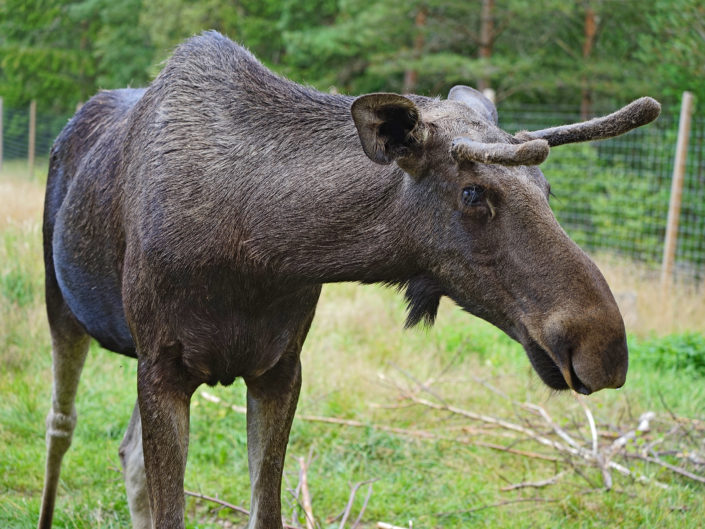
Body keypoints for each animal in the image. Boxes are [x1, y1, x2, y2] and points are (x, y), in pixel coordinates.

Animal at [38, 31, 660, 529]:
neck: (258, 252)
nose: (604, 345)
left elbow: (264, 511)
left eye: (547, 189)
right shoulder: (162, 367)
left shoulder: (280, 368)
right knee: (61, 427)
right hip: (62, 308)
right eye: (472, 192)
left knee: (128, 455)